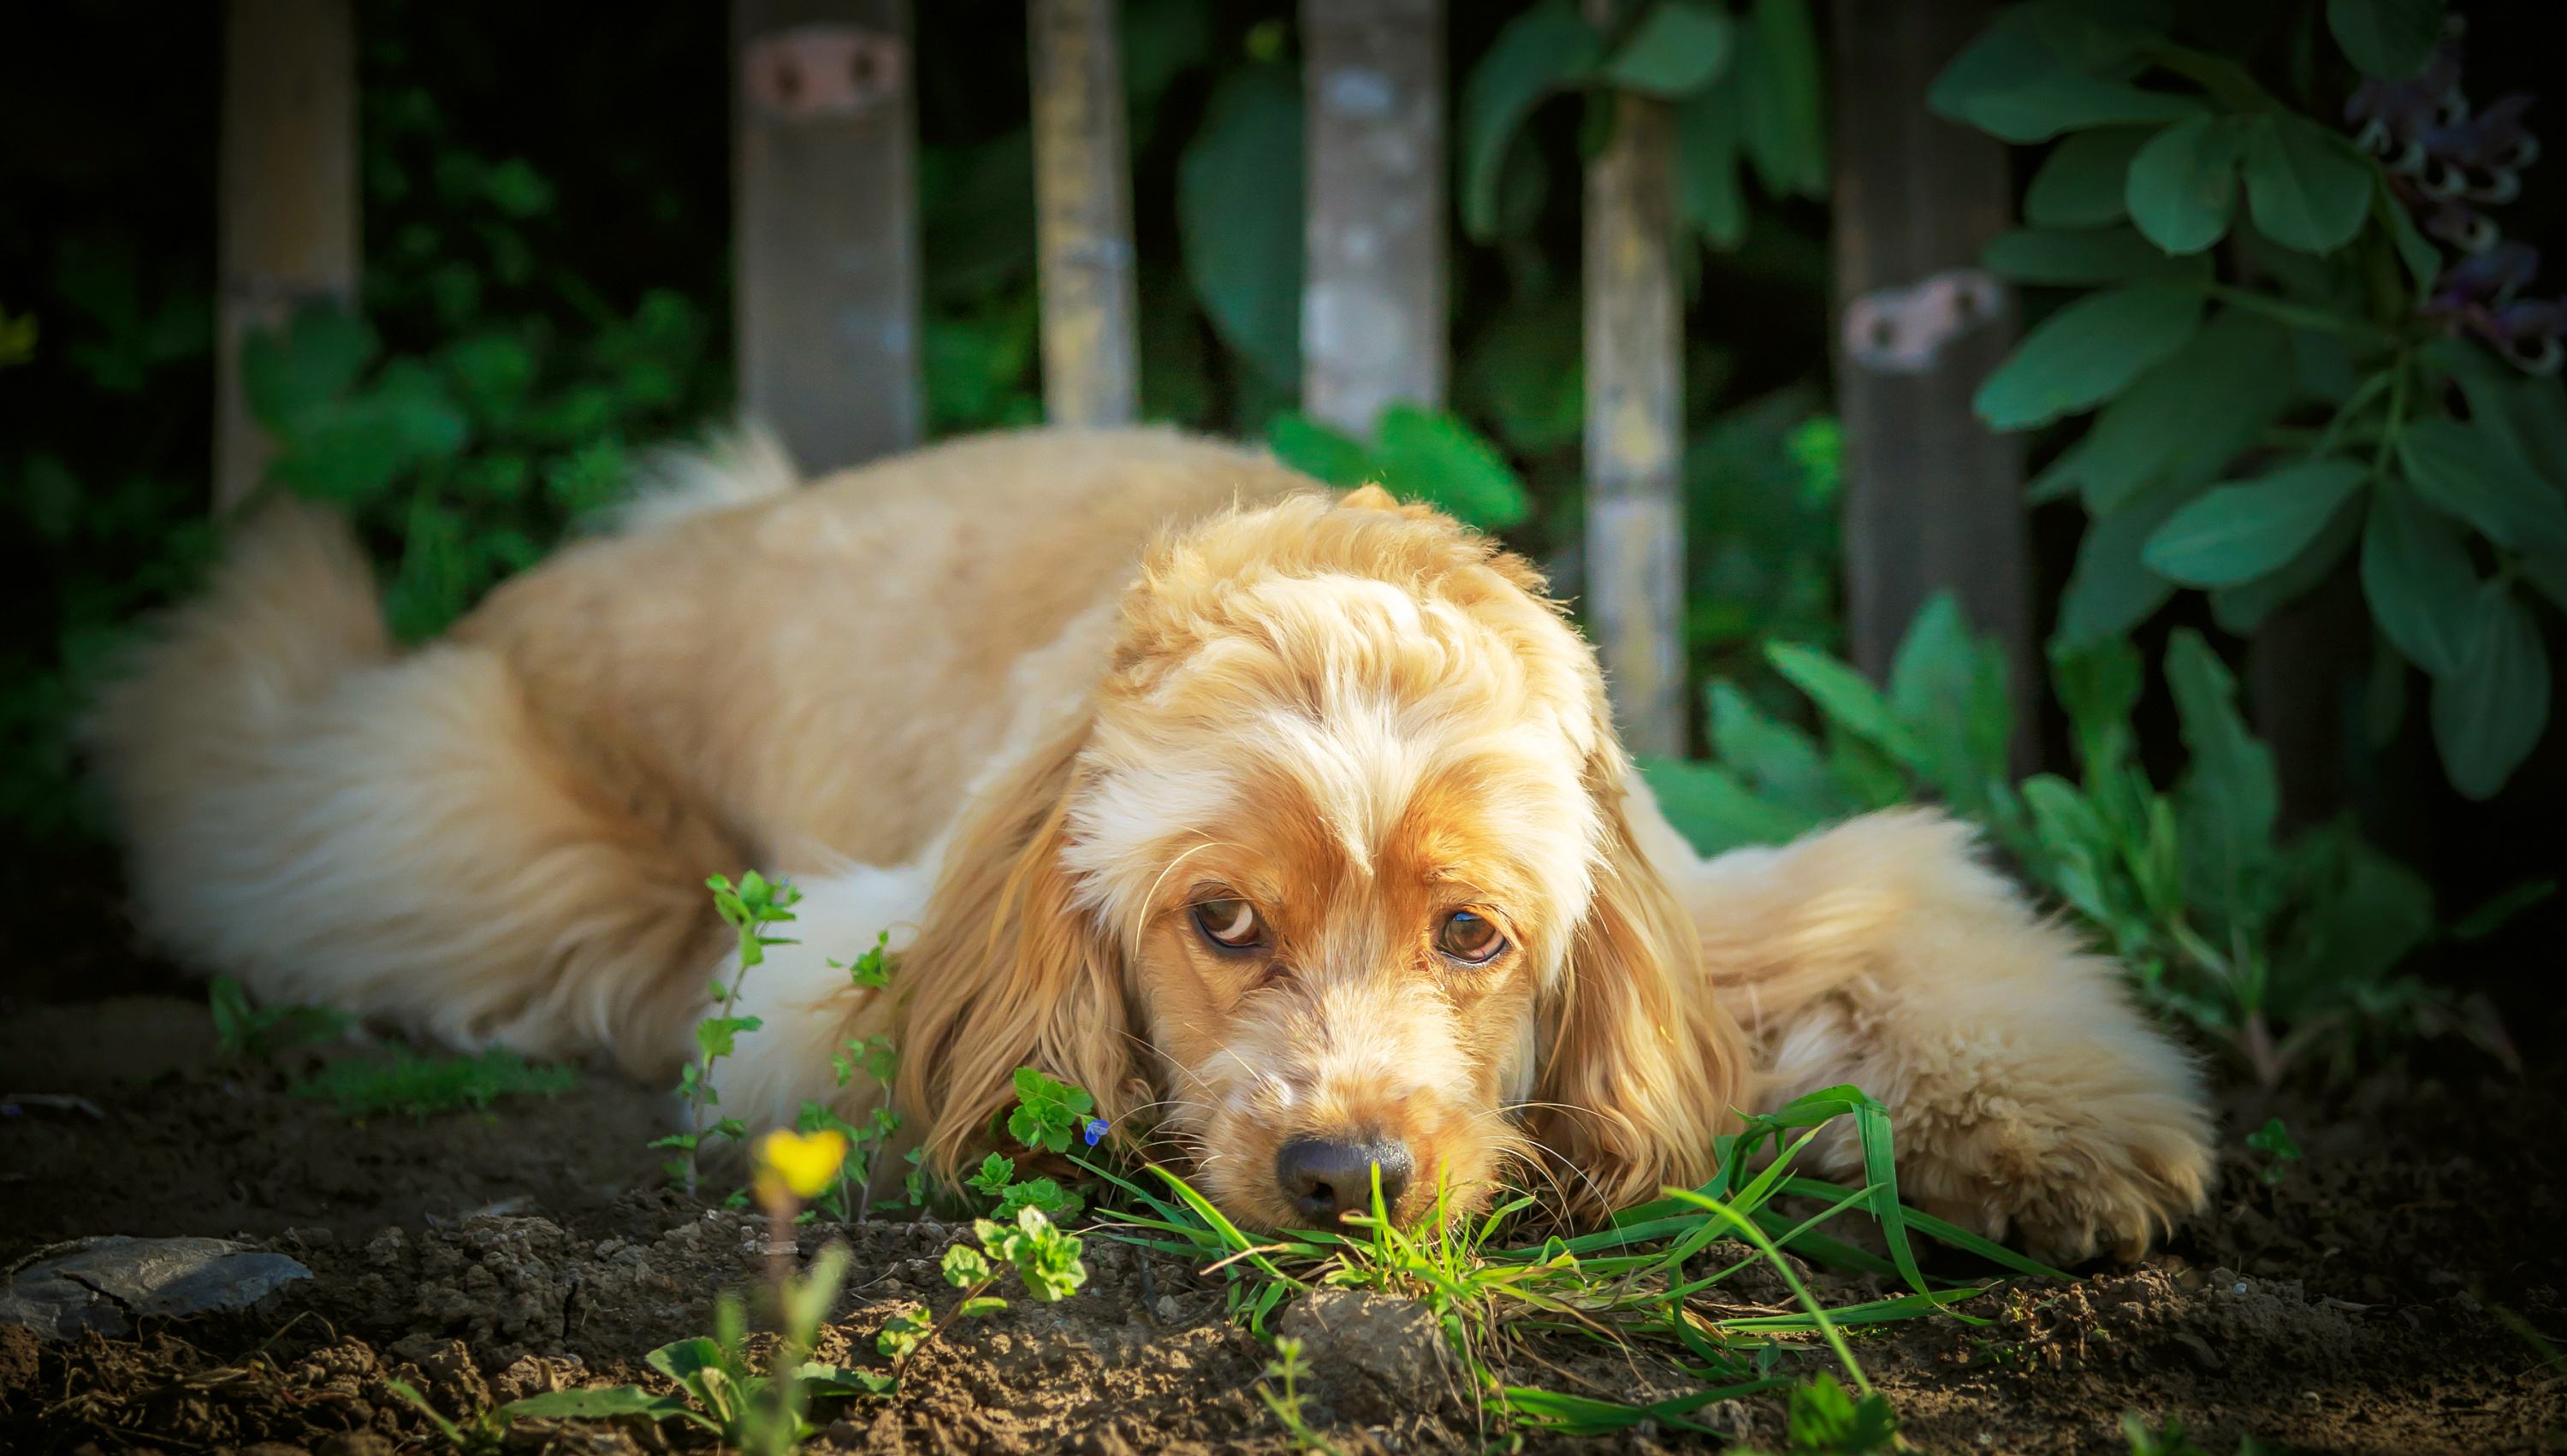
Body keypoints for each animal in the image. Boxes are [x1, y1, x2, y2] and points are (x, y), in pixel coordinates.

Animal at [80, 426, 2208, 1258]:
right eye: (1219, 920)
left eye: (1472, 933)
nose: (1347, 1172)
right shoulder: (838, 958)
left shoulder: (1708, 895)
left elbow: (1912, 920)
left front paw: (2073, 1140)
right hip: (480, 838)